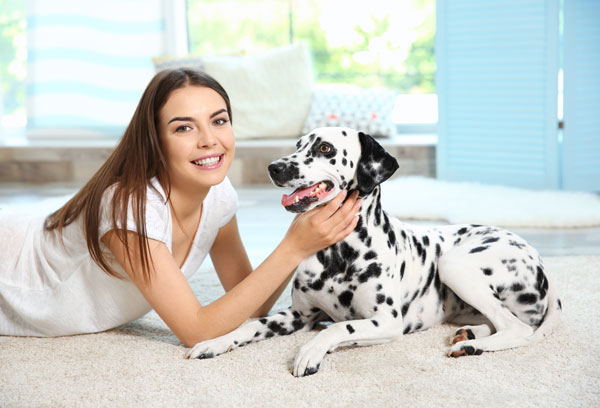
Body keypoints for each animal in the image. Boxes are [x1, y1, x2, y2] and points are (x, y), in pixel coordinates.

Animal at [188, 126, 564, 376]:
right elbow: (249, 326)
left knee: (517, 328)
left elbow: (339, 329)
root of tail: (541, 262)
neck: (338, 254)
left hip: (453, 264)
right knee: (502, 322)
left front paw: (309, 352)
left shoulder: (385, 322)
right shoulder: (299, 315)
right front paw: (214, 342)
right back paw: (470, 335)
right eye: (297, 145)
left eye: (325, 148)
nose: (275, 167)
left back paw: (471, 345)